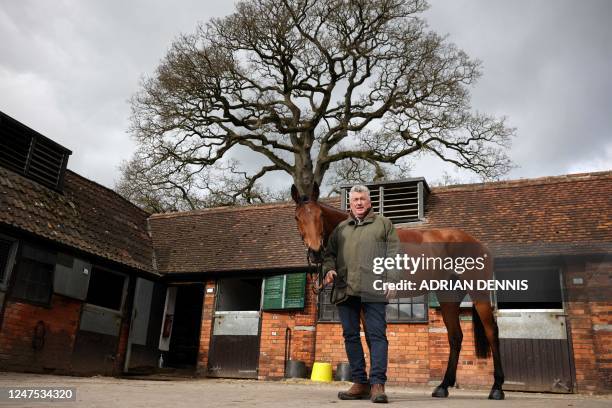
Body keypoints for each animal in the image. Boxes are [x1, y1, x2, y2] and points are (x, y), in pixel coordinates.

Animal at [294, 183, 504, 400]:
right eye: (297, 217)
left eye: (319, 215)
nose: (316, 252)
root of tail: (478, 244)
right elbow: (369, 339)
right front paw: (365, 388)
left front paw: (375, 388)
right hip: (448, 297)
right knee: (455, 336)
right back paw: (443, 386)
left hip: (479, 293)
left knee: (491, 331)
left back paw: (496, 388)